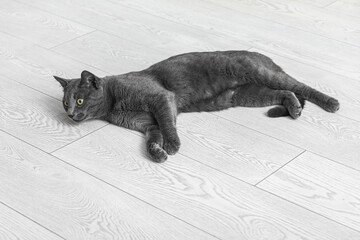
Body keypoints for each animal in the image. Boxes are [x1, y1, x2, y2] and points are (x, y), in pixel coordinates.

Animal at [54, 50, 340, 163]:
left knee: (300, 86)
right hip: (246, 94)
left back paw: (331, 103)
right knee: (286, 92)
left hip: (261, 74)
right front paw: (158, 153)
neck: (114, 105)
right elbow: (153, 138)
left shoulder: (161, 99)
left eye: (79, 100)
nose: (70, 114)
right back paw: (293, 108)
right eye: (66, 102)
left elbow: (167, 124)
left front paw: (172, 146)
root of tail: (263, 56)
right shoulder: (147, 124)